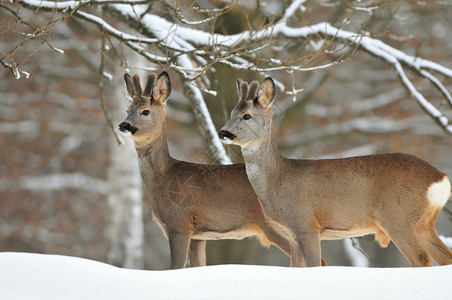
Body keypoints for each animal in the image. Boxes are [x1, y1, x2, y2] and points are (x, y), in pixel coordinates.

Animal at [118, 71, 320, 268]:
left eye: (145, 111)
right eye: (127, 110)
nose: (123, 125)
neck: (164, 176)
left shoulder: (179, 224)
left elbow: (176, 267)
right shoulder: (198, 236)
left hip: (276, 227)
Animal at [217, 78, 450, 268]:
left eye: (246, 116)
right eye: (231, 113)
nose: (222, 132)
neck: (278, 179)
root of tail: (441, 178)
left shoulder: (306, 225)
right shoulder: (292, 235)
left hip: (398, 216)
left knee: (422, 259)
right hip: (423, 222)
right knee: (445, 257)